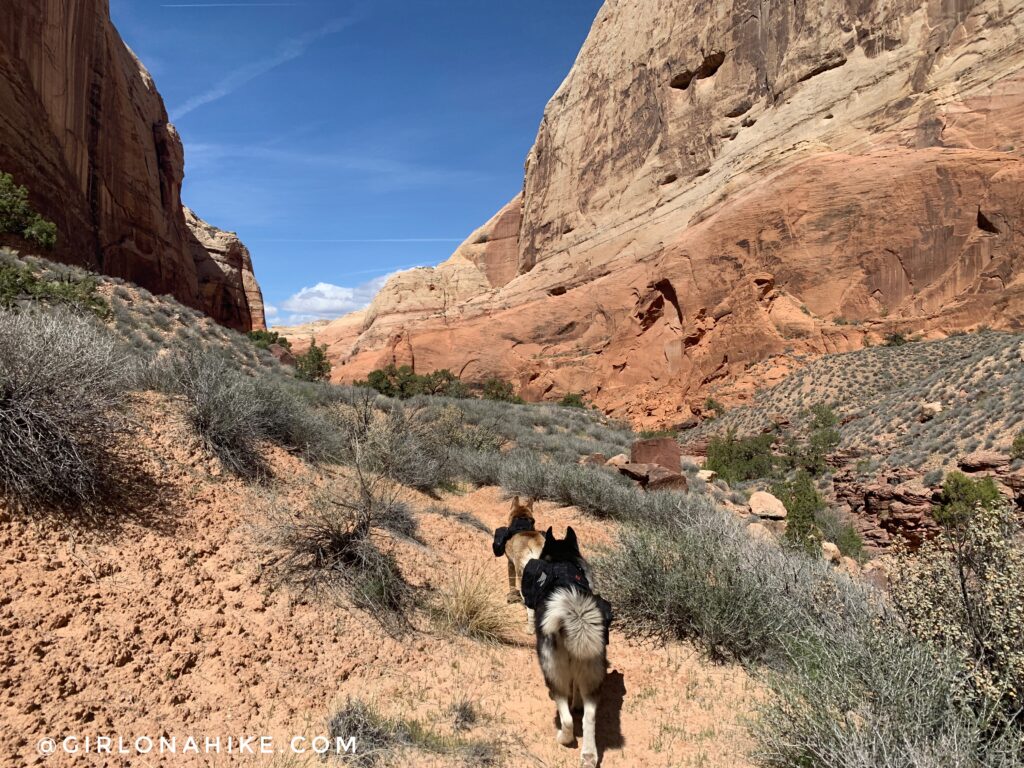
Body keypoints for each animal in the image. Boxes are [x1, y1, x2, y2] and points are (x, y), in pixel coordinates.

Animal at [524, 528, 610, 765]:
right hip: (591, 670)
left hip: (553, 672)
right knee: (589, 717)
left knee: (567, 717)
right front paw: (578, 704)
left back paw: (564, 738)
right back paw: (589, 755)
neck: (563, 560)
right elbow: (578, 694)